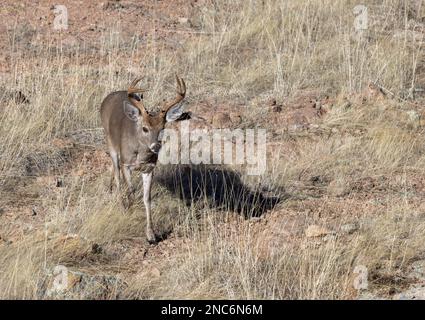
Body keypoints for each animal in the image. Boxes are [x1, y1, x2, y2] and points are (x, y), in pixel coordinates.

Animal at [100, 75, 186, 242]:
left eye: (162, 128)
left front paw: (151, 235)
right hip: (110, 141)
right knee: (116, 173)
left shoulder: (149, 168)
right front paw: (128, 213)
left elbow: (147, 198)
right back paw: (120, 203)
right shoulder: (126, 164)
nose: (156, 146)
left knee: (113, 170)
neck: (140, 155)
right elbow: (131, 191)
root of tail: (109, 96)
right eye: (145, 128)